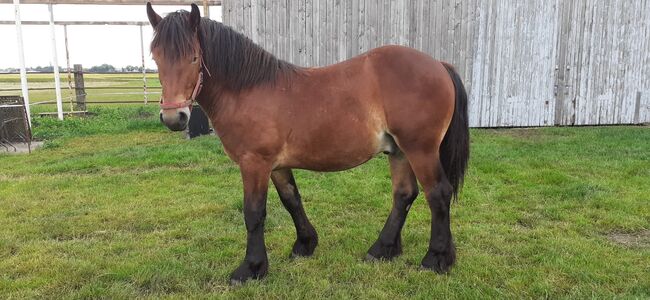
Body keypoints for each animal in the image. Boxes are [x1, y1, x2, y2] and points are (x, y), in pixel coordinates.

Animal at [146, 2, 466, 284]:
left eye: (193, 58)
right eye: (156, 58)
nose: (174, 118)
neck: (247, 89)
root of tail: (439, 64)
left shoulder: (254, 163)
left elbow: (254, 213)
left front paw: (251, 268)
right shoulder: (275, 166)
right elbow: (291, 200)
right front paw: (305, 244)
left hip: (420, 149)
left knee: (438, 193)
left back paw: (435, 259)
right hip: (399, 151)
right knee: (404, 195)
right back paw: (382, 250)